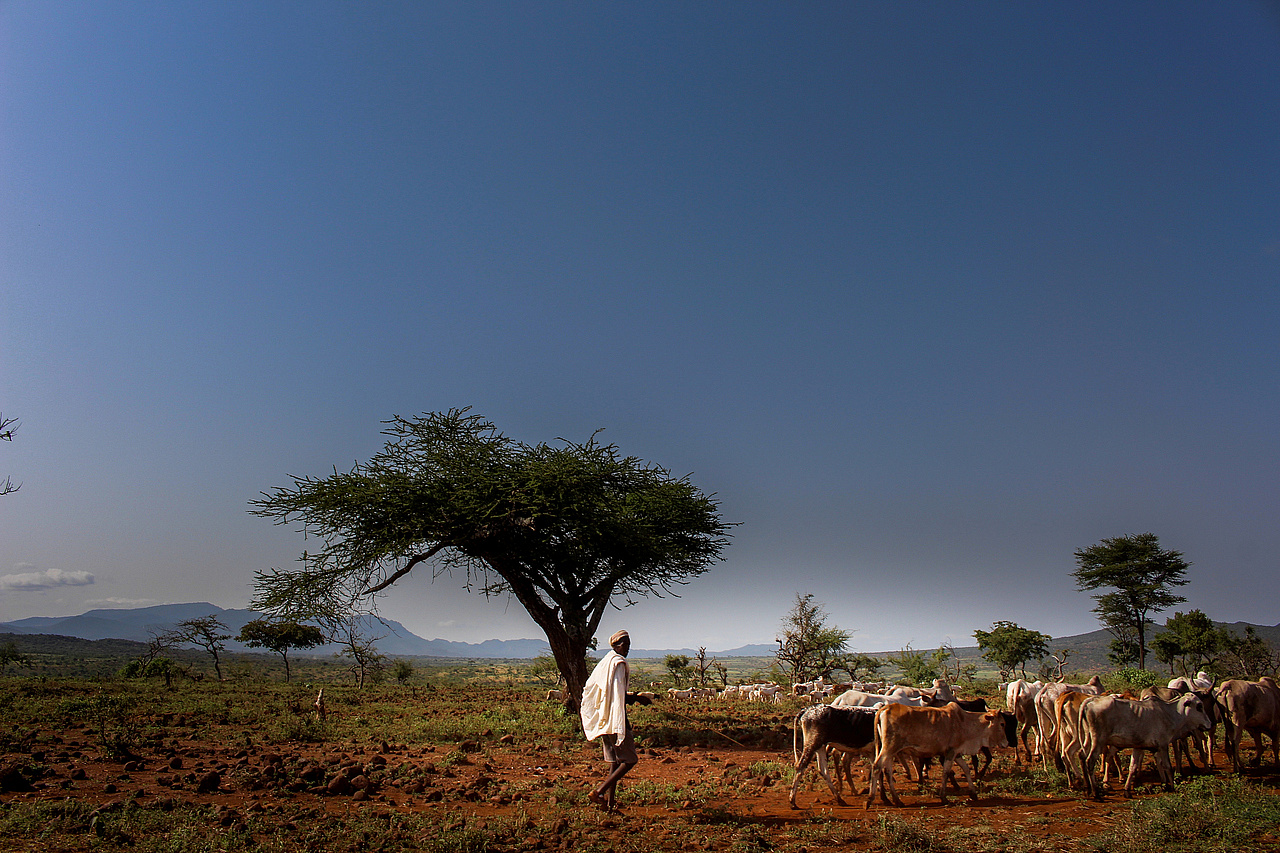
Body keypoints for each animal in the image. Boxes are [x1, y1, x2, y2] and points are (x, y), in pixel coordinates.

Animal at [865, 702, 1013, 808]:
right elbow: (946, 772)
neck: (964, 722)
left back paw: (897, 800)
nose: (1006, 743)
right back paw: (870, 800)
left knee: (887, 770)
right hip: (889, 748)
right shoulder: (951, 752)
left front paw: (973, 793)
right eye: (1002, 724)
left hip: (890, 750)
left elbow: (966, 769)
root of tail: (885, 708)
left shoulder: (956, 753)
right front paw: (944, 797)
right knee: (877, 766)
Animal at [1079, 693, 1211, 799]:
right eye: (1199, 706)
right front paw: (1172, 787)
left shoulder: (1138, 747)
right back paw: (1095, 792)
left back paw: (1087, 789)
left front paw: (1127, 791)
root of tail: (1090, 700)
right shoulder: (1163, 745)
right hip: (1098, 741)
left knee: (1081, 755)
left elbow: (1133, 767)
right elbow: (1167, 766)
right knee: (1090, 761)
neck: (1170, 713)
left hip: (1088, 738)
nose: (1209, 724)